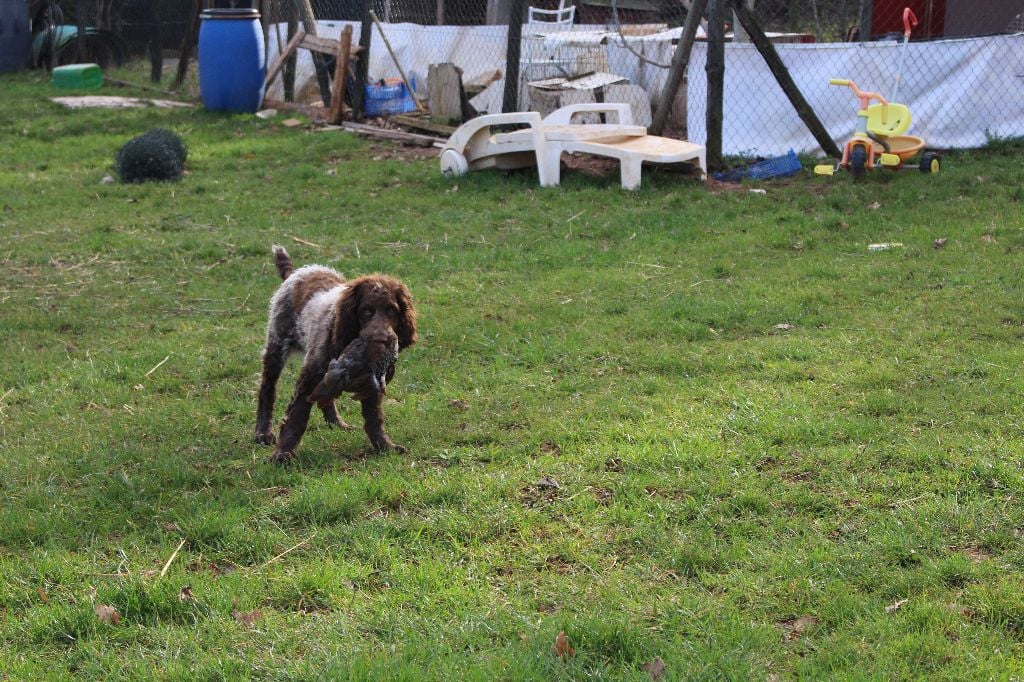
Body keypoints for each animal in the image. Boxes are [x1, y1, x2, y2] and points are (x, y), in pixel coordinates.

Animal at [254, 246, 415, 464]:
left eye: (392, 310)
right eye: (366, 311)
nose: (382, 340)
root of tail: (298, 272)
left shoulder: (372, 381)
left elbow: (374, 418)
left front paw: (384, 446)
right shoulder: (309, 376)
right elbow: (297, 416)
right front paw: (282, 453)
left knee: (326, 397)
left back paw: (336, 423)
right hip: (277, 344)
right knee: (267, 389)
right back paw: (262, 432)